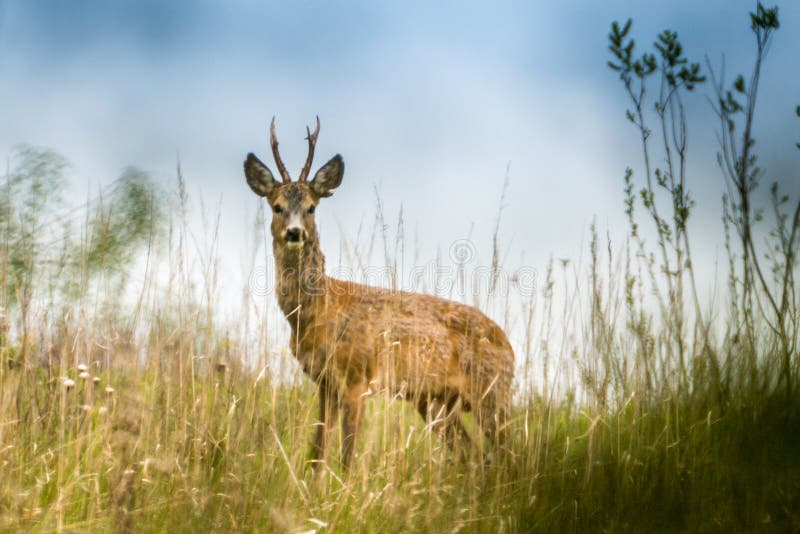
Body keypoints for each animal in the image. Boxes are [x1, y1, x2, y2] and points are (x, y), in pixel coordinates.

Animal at [243, 117, 514, 471]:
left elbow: (347, 453)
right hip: (435, 401)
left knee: (511, 453)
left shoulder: (358, 377)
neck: (321, 309)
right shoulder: (325, 382)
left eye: (311, 208)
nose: (294, 232)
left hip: (492, 392)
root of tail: (510, 347)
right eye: (277, 207)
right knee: (474, 455)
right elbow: (318, 450)